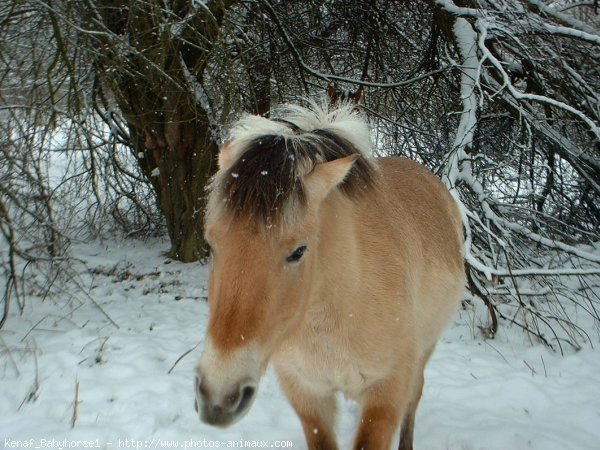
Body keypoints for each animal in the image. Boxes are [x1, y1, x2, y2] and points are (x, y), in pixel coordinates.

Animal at [195, 102, 466, 450]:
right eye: (211, 244)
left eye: (298, 251)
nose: (218, 396)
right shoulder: (307, 394)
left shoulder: (386, 394)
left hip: (424, 350)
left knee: (414, 398)